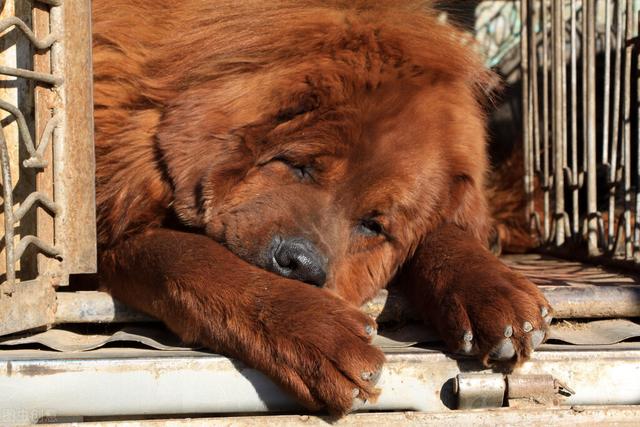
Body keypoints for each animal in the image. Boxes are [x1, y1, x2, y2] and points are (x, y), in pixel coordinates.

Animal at [92, 0, 552, 414]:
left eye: (373, 225)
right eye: (300, 166)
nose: (300, 263)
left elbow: (446, 232)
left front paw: (492, 288)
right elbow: (193, 260)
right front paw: (319, 333)